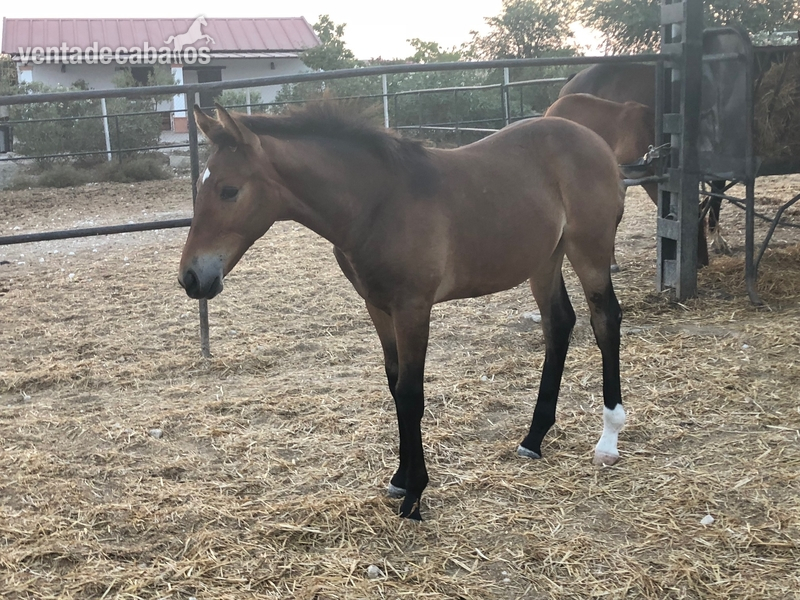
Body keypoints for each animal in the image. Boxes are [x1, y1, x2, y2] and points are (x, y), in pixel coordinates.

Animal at [178, 102, 627, 520]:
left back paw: (608, 439)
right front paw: (399, 478)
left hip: (589, 250)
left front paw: (414, 495)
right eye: (200, 187)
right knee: (559, 323)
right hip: (544, 259)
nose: (191, 278)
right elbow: (394, 385)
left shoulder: (413, 307)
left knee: (605, 320)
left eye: (229, 190)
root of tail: (594, 140)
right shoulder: (378, 306)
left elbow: (411, 393)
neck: (377, 203)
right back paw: (533, 438)